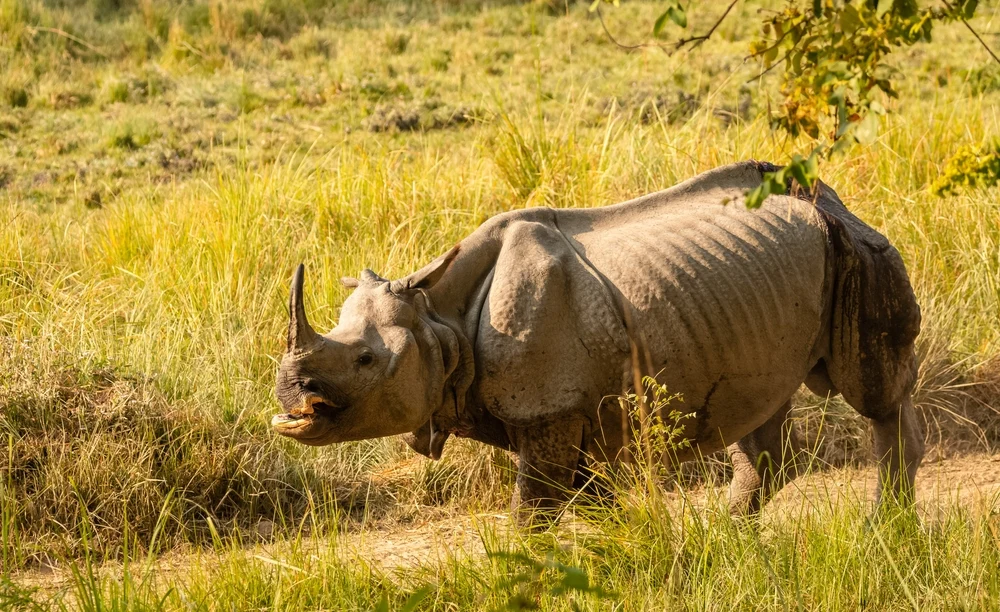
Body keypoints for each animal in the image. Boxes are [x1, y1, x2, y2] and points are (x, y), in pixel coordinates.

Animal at [272, 161, 924, 521]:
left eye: (365, 359)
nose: (288, 400)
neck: (439, 321)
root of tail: (833, 198)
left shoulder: (547, 407)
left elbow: (533, 511)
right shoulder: (556, 414)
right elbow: (587, 501)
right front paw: (634, 551)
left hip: (854, 250)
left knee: (874, 397)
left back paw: (882, 534)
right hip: (761, 285)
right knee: (756, 407)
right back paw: (729, 536)